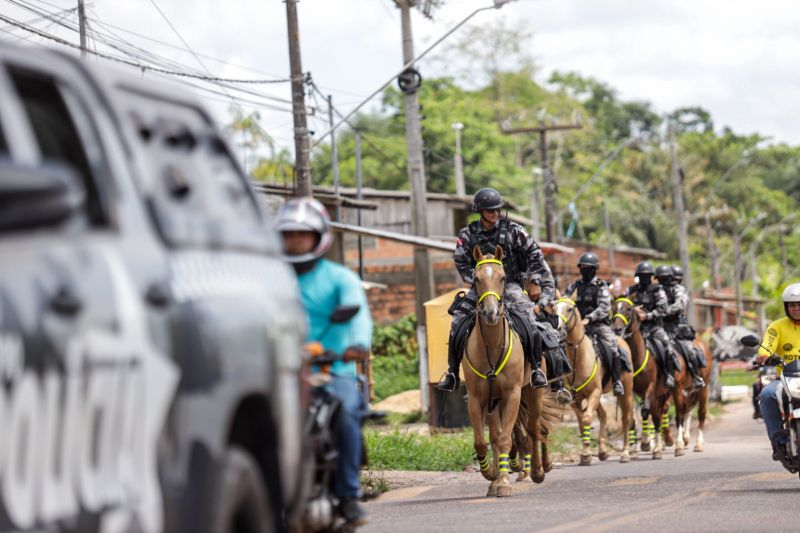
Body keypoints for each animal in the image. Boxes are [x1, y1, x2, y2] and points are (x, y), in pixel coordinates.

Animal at [552, 298, 636, 464]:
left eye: (570, 309)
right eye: (555, 308)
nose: (558, 329)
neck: (579, 356)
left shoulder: (595, 393)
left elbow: (586, 419)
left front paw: (586, 454)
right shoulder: (575, 399)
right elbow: (581, 422)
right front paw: (585, 453)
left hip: (626, 393)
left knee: (626, 419)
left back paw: (625, 453)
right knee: (603, 415)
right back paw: (603, 451)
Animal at [612, 298, 676, 460]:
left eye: (628, 309)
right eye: (614, 308)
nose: (616, 329)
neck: (637, 358)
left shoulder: (650, 388)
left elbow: (646, 413)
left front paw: (649, 445)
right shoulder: (632, 392)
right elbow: (633, 417)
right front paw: (637, 447)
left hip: (667, 392)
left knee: (662, 411)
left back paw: (668, 442)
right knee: (656, 413)